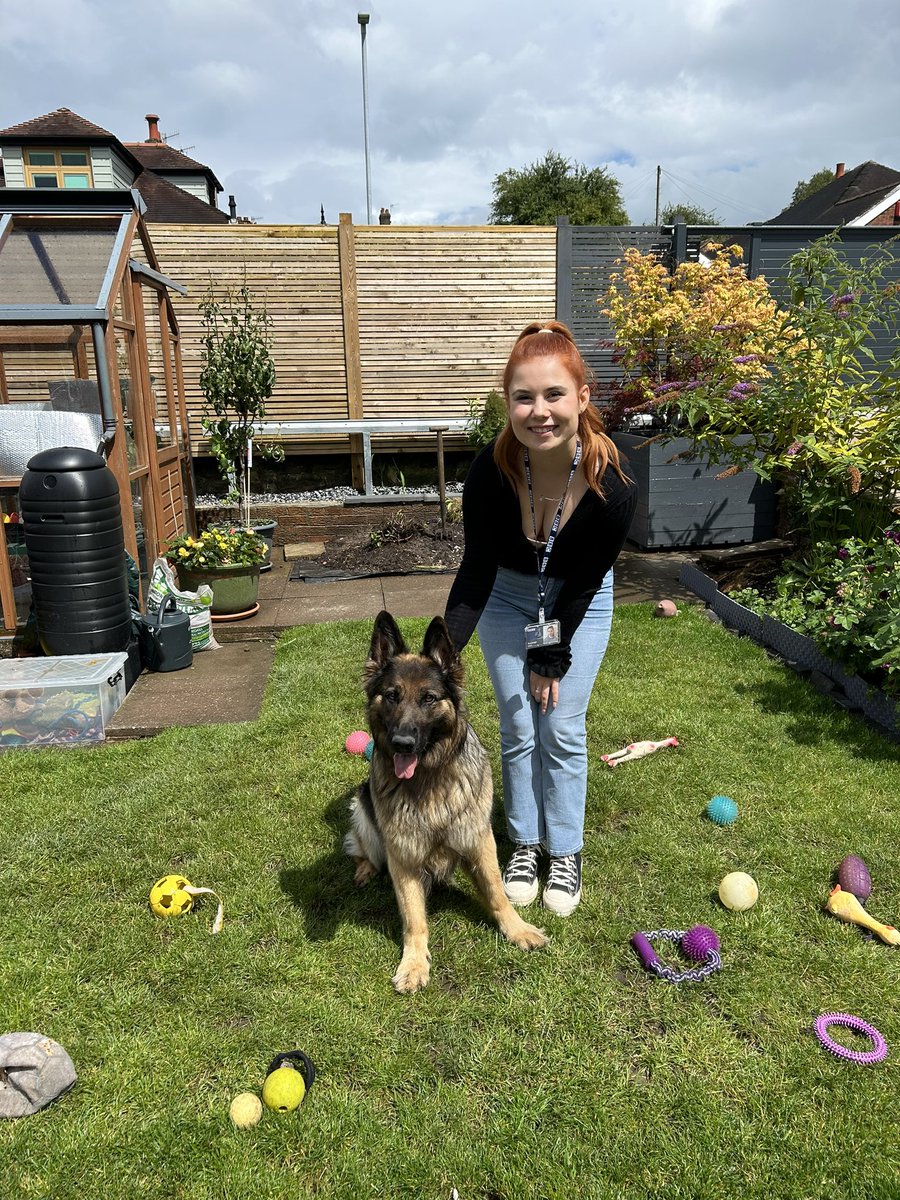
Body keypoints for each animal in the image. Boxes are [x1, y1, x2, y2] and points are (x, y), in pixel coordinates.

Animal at [345, 609, 547, 993]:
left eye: (428, 698)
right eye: (391, 696)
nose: (402, 743)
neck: (428, 779)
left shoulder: (478, 840)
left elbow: (496, 892)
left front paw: (517, 929)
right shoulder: (403, 856)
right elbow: (414, 919)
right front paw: (413, 964)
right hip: (362, 804)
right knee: (365, 849)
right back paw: (364, 868)